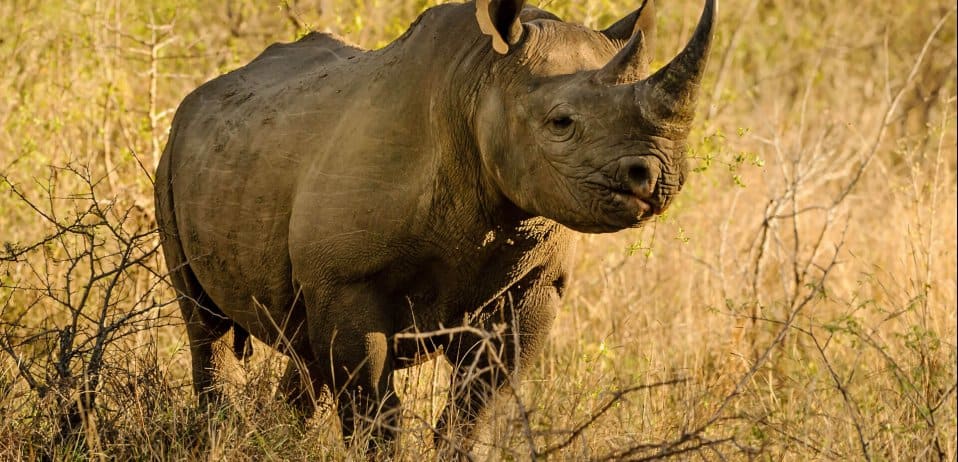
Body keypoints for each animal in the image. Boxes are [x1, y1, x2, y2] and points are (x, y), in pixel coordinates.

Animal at [154, 0, 714, 455]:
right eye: (561, 123)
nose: (660, 175)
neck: (481, 81)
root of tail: (203, 93)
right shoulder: (348, 279)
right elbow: (373, 410)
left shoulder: (532, 284)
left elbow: (476, 407)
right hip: (173, 157)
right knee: (206, 325)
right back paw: (218, 434)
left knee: (304, 344)